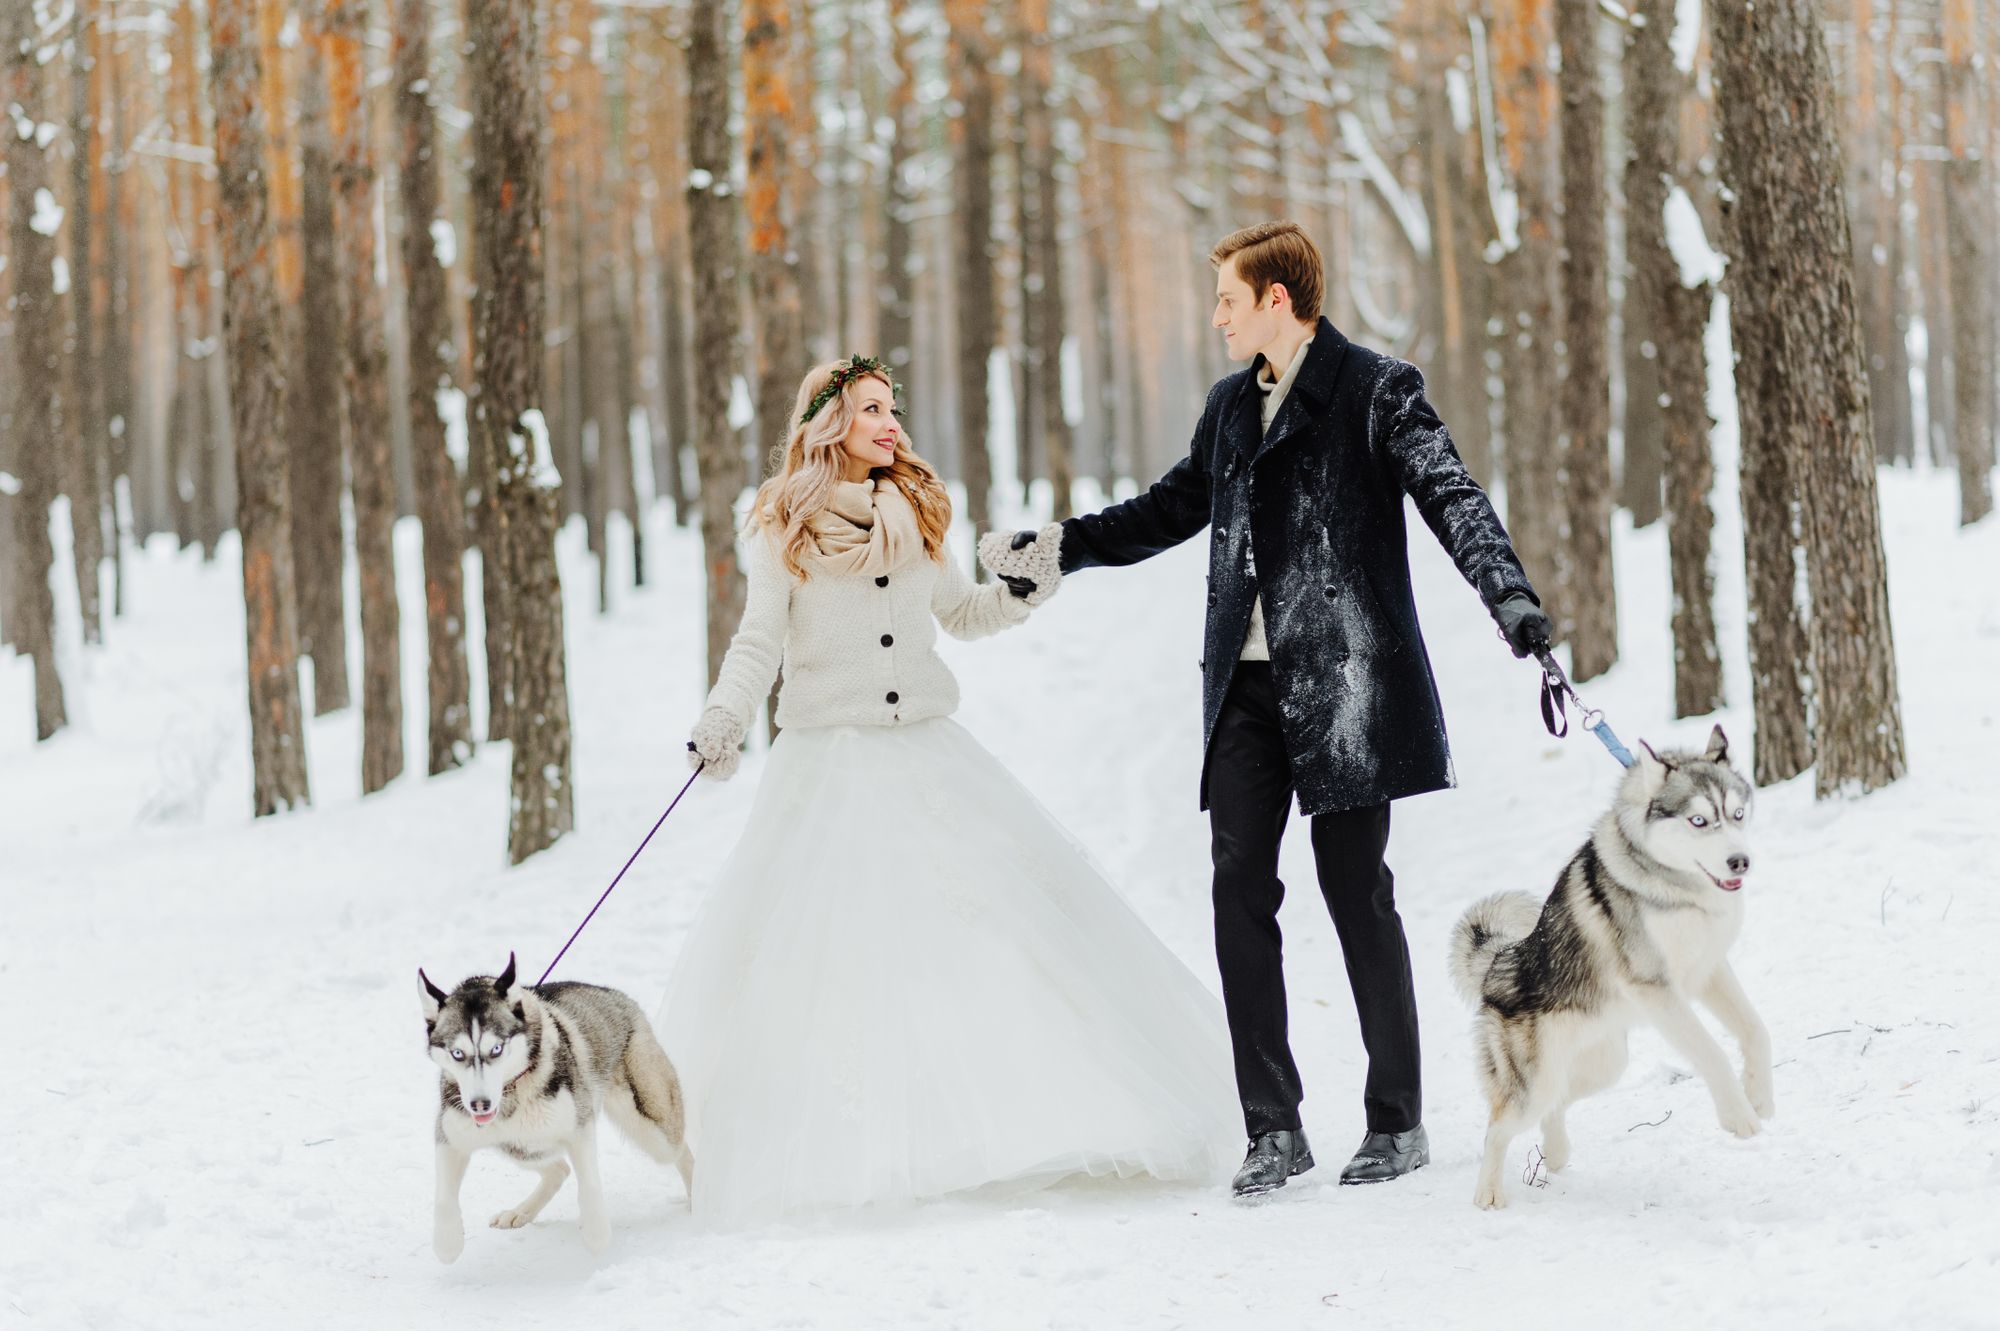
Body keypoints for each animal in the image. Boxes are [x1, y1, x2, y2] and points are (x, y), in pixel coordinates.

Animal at [418, 955, 692, 1255]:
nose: (479, 1105)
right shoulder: (450, 1137)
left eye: (497, 1049)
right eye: (457, 1053)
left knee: (682, 1151)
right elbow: (444, 1198)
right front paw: (448, 1242)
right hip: (519, 1146)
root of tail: (618, 997)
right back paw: (521, 1212)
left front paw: (596, 1233)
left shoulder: (579, 1127)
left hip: (654, 1130)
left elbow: (589, 1183)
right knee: (559, 1169)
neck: (513, 1091)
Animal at [1448, 719, 1776, 1207]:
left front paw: (1759, 1096)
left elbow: (1756, 1030)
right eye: (1698, 820)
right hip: (1536, 1082)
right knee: (1499, 1128)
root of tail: (1501, 963)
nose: (1741, 862)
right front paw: (1738, 1115)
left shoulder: (1708, 971)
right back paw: (1488, 1196)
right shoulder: (1656, 989)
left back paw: (1556, 1152)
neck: (1676, 887)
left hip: (1605, 1063)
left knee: (1556, 1104)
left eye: (1737, 814)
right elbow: (1711, 1052)